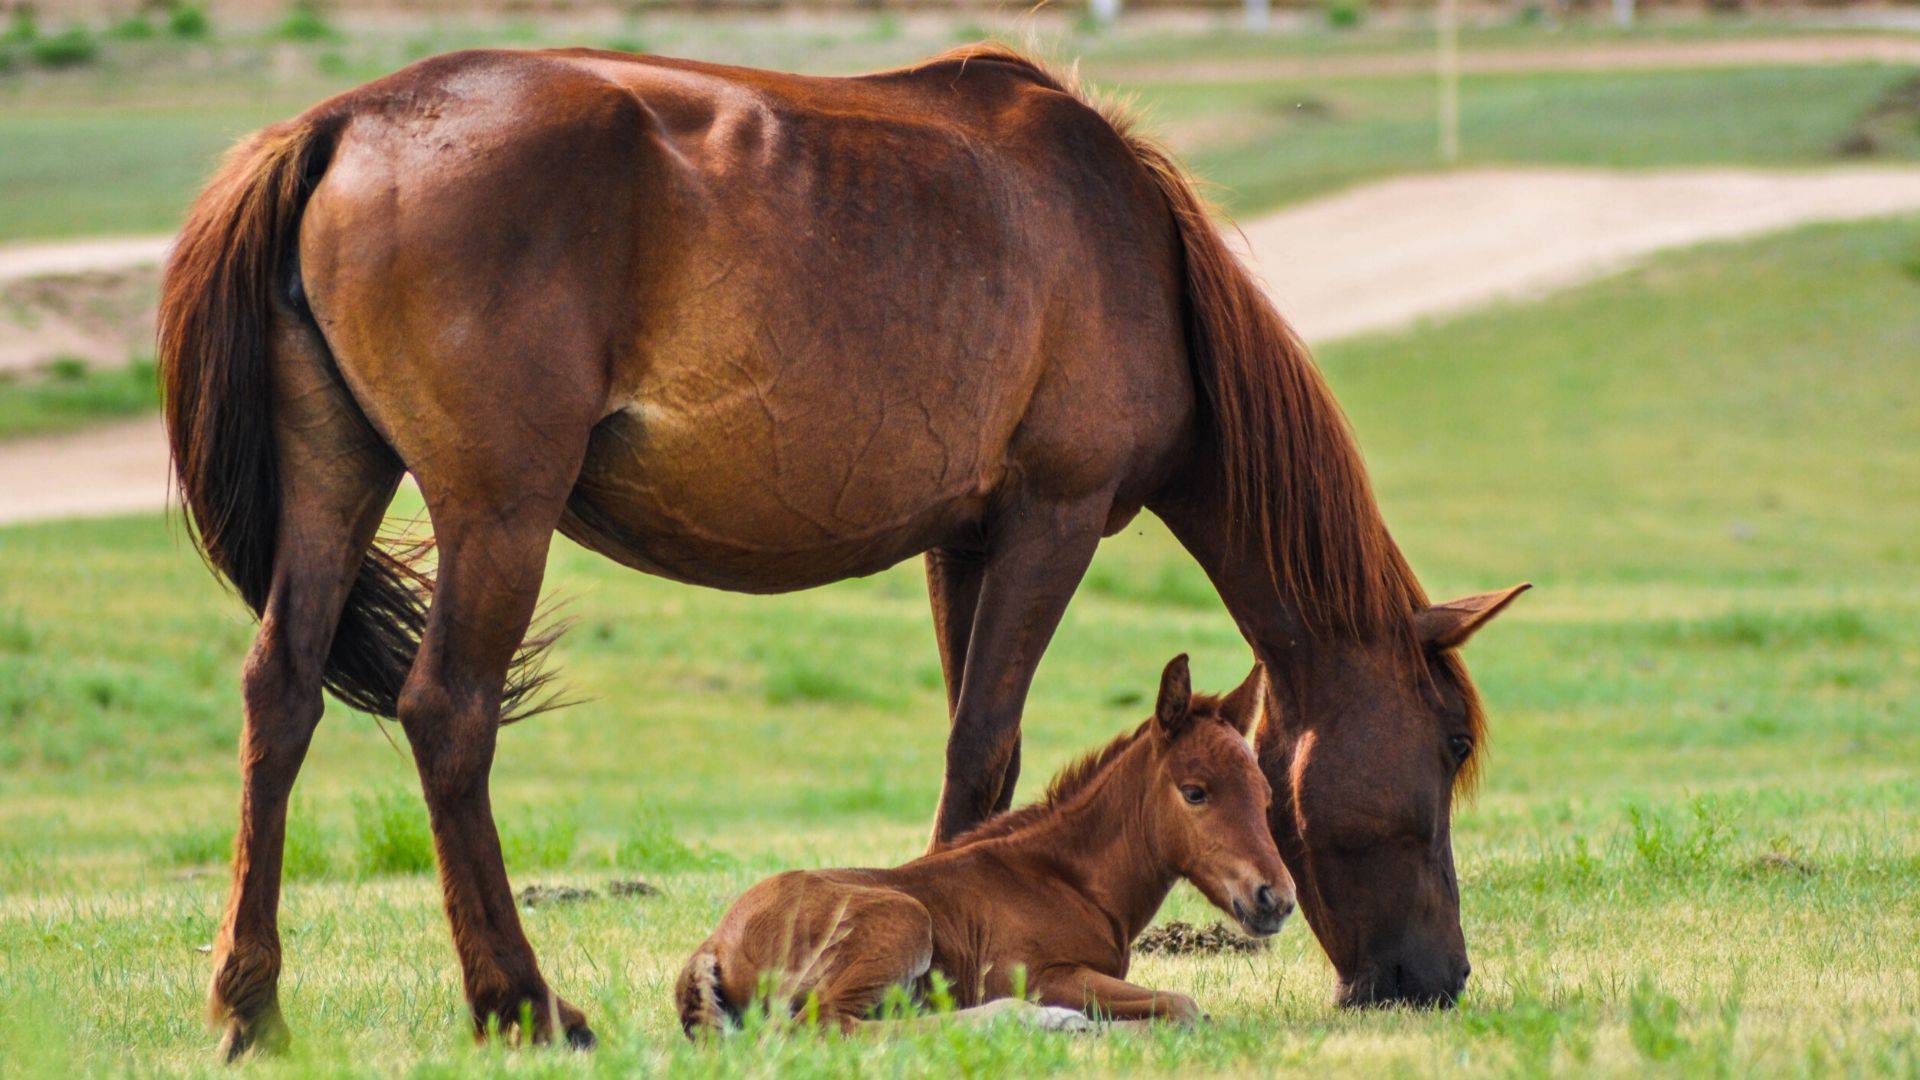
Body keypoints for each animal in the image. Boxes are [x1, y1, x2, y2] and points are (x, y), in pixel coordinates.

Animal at [675, 656, 1292, 1036]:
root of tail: (714, 944)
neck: (1068, 879)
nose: (1276, 900)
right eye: (1195, 792)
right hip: (902, 921)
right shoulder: (1039, 974)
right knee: (830, 1026)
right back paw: (1036, 1021)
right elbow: (1182, 1005)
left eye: (1266, 795)